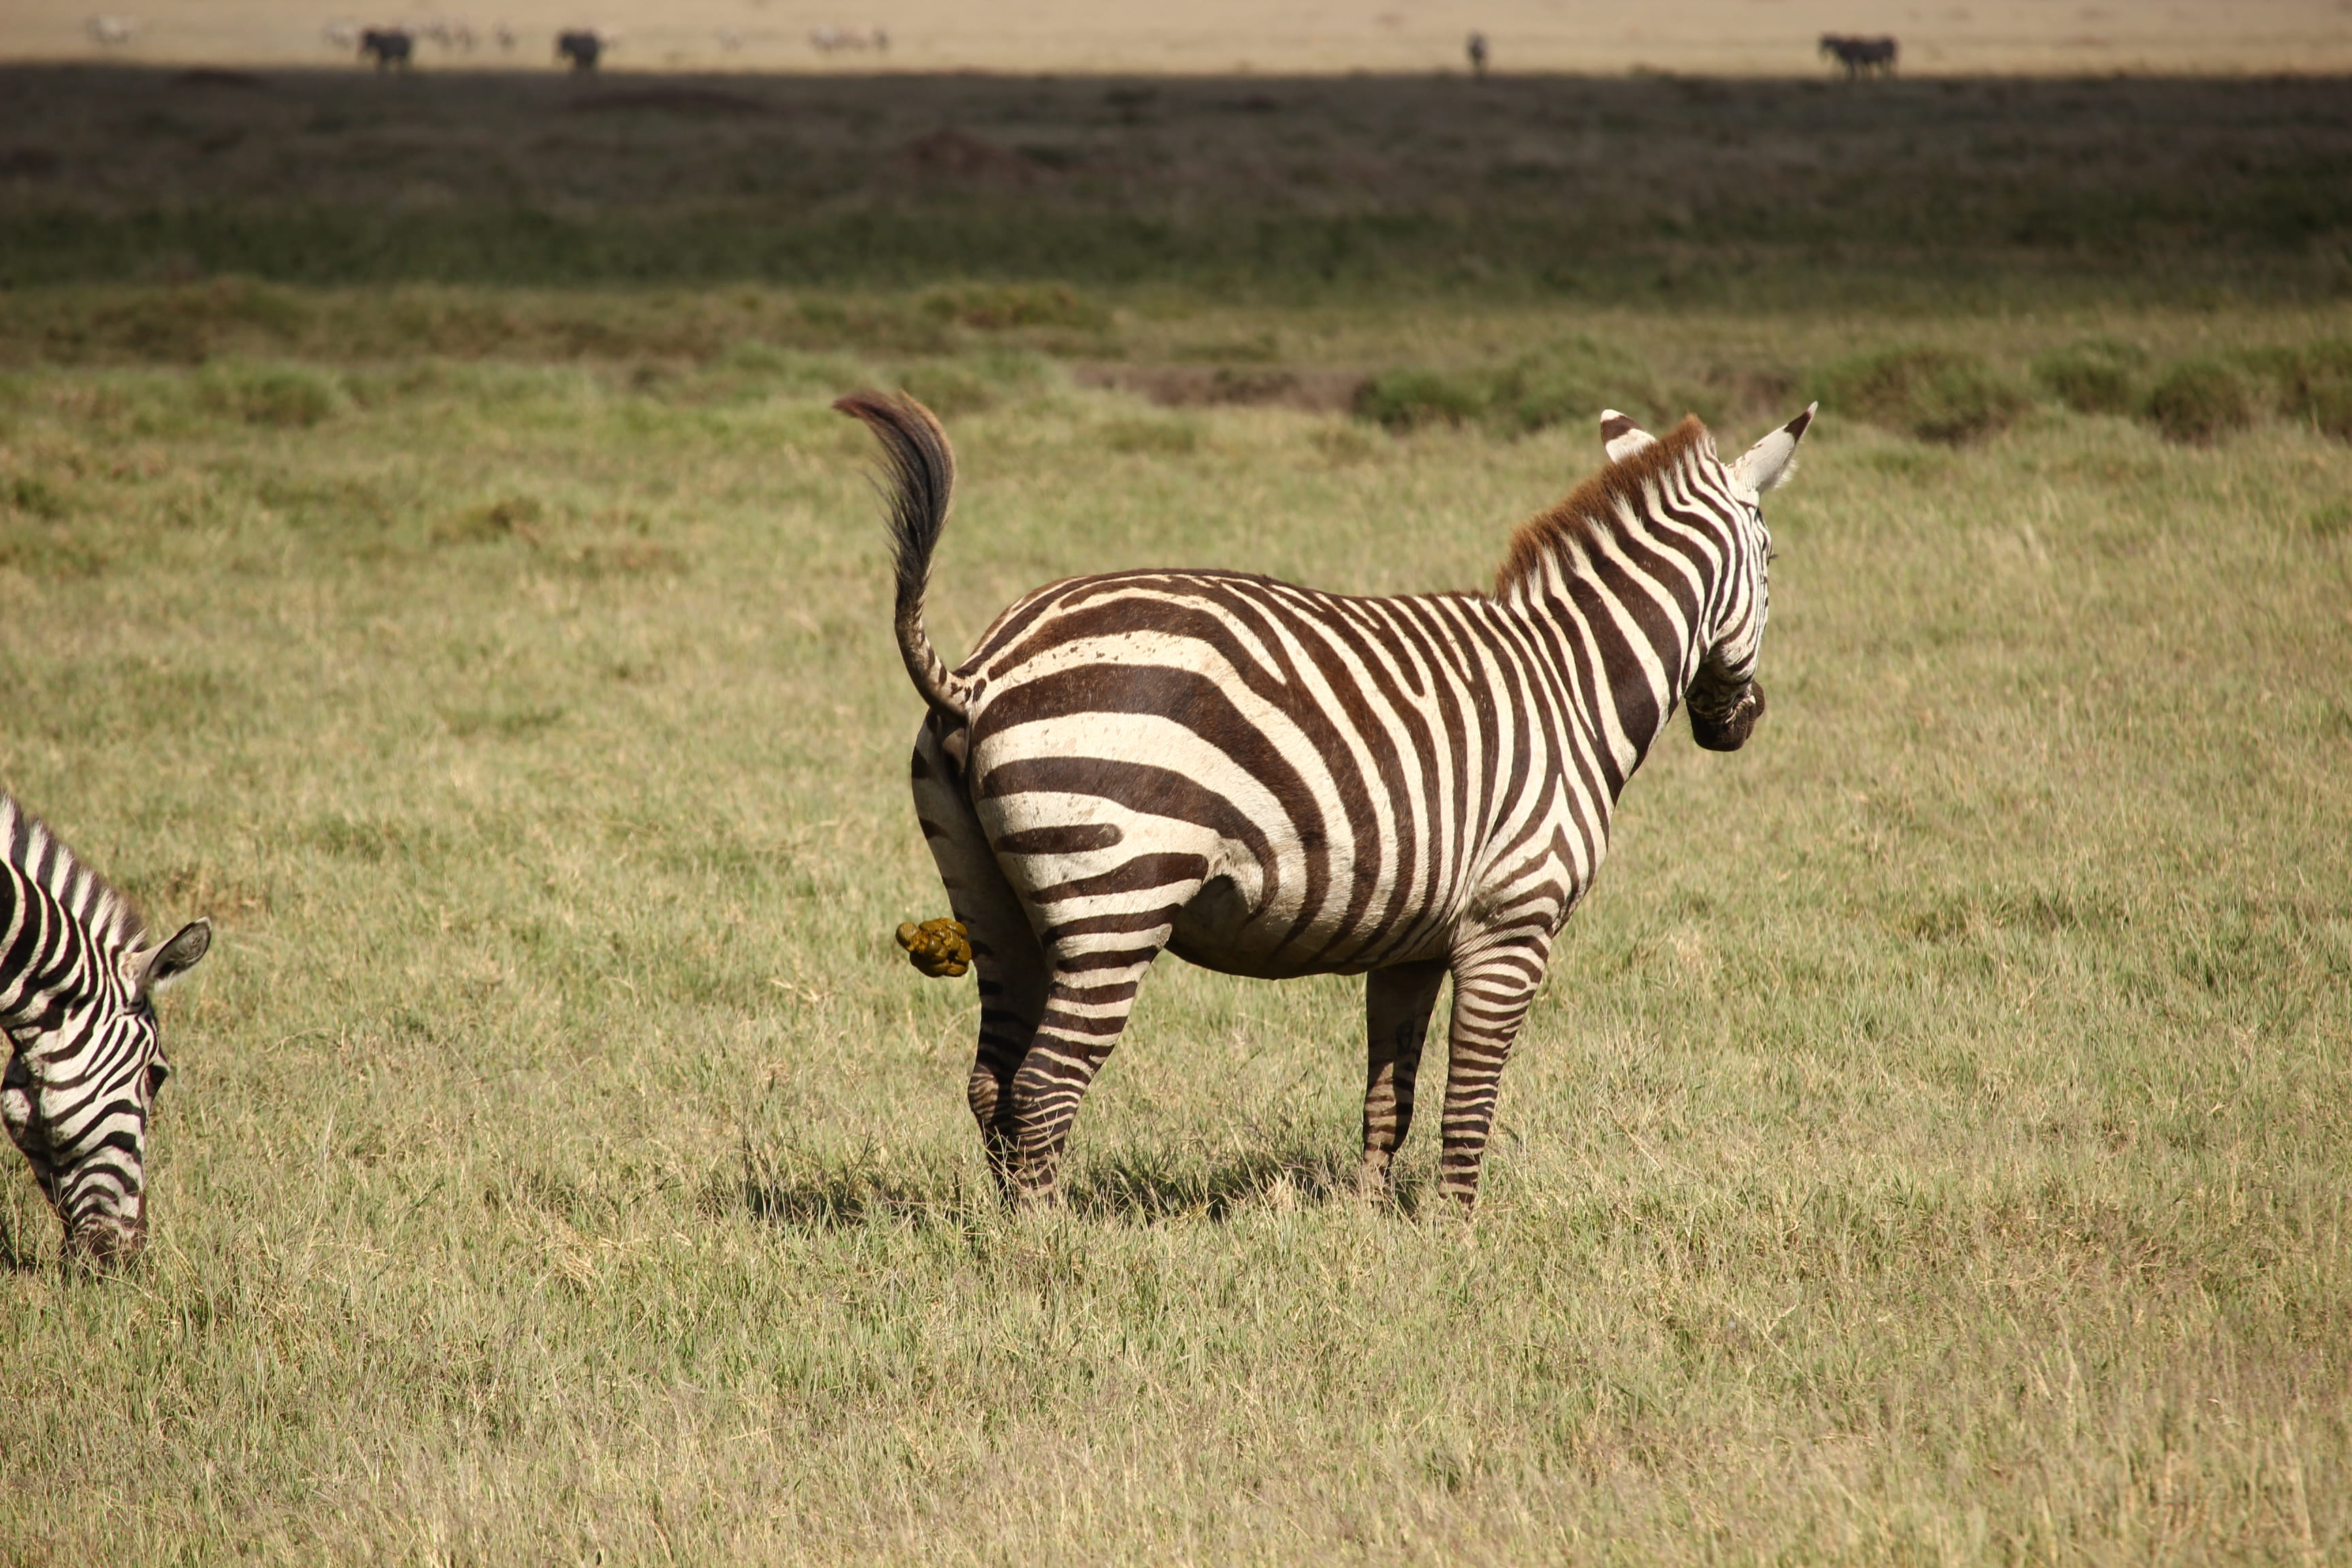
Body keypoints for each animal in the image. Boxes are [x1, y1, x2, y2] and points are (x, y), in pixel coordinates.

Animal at [837, 389, 1813, 1210]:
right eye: (1773, 562)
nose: (1744, 722)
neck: (1570, 680)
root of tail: (980, 672)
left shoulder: (1413, 944)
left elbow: (1393, 1098)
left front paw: (1372, 1225)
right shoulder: (1513, 924)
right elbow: (1471, 1100)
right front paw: (1458, 1238)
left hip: (992, 900)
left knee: (993, 1083)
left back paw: (1002, 1228)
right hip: (1117, 896)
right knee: (1045, 1087)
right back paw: (1050, 1249)